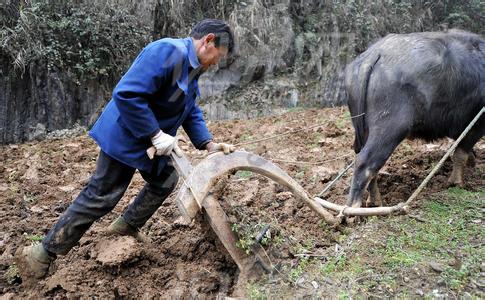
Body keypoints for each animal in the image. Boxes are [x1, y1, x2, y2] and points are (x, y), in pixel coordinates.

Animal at [342, 30, 482, 209]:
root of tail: (374, 55)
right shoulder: (475, 124)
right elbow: (461, 152)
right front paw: (456, 183)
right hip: (390, 129)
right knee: (364, 163)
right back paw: (353, 209)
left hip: (362, 130)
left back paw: (375, 201)